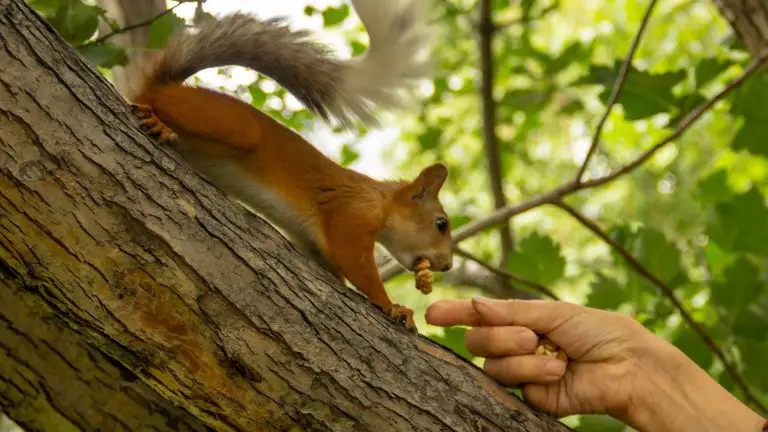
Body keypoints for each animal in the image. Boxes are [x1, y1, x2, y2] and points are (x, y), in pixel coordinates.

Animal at [125, 0, 450, 330]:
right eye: (441, 223)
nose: (447, 265)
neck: (381, 203)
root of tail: (165, 87)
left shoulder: (315, 245)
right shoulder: (352, 212)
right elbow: (355, 262)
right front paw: (394, 306)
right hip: (233, 126)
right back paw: (159, 123)